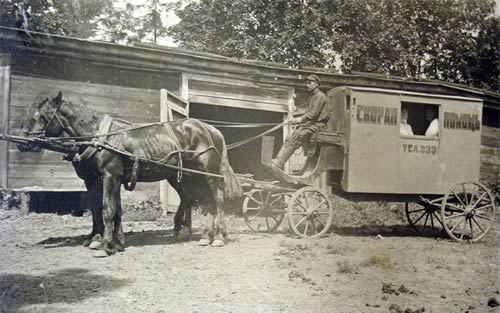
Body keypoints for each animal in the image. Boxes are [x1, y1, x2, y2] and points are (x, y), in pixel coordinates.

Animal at [19, 91, 244, 256]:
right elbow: (106, 210)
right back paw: (200, 234)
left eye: (42, 117)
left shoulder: (109, 177)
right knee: (198, 200)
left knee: (216, 200)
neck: (99, 138)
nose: (22, 142)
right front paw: (112, 242)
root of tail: (211, 130)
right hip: (187, 176)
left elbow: (107, 210)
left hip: (208, 174)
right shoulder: (99, 180)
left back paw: (217, 237)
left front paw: (105, 246)